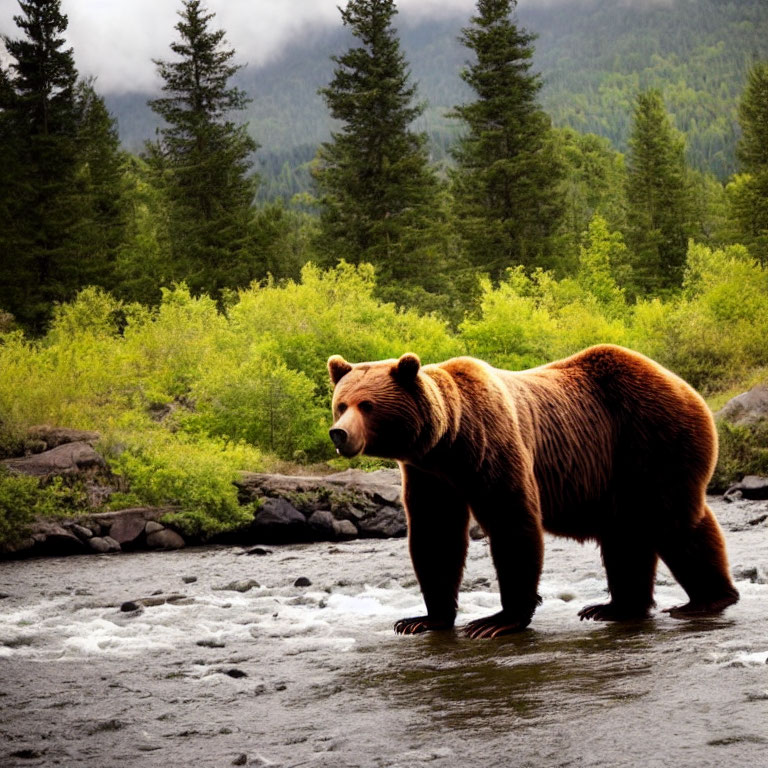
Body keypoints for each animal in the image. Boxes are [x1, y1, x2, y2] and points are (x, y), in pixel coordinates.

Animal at [326, 344, 736, 640]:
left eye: (367, 405)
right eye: (341, 404)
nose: (339, 433)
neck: (449, 442)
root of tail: (680, 382)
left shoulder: (492, 445)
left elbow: (512, 522)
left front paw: (495, 620)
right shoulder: (430, 474)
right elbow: (435, 535)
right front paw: (421, 619)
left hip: (652, 438)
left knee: (674, 520)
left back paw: (707, 599)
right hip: (616, 472)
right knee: (626, 536)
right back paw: (613, 607)